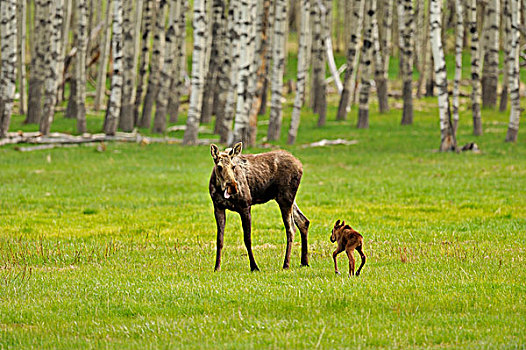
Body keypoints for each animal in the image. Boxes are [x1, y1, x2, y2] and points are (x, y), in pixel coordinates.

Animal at [209, 142, 312, 270]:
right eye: (219, 166)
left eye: (233, 166)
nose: (233, 187)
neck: (219, 188)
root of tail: (300, 165)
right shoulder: (218, 207)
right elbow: (219, 239)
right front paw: (217, 267)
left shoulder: (245, 205)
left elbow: (247, 239)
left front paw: (254, 267)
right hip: (286, 199)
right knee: (304, 221)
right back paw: (304, 262)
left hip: (285, 198)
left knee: (291, 229)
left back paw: (286, 264)